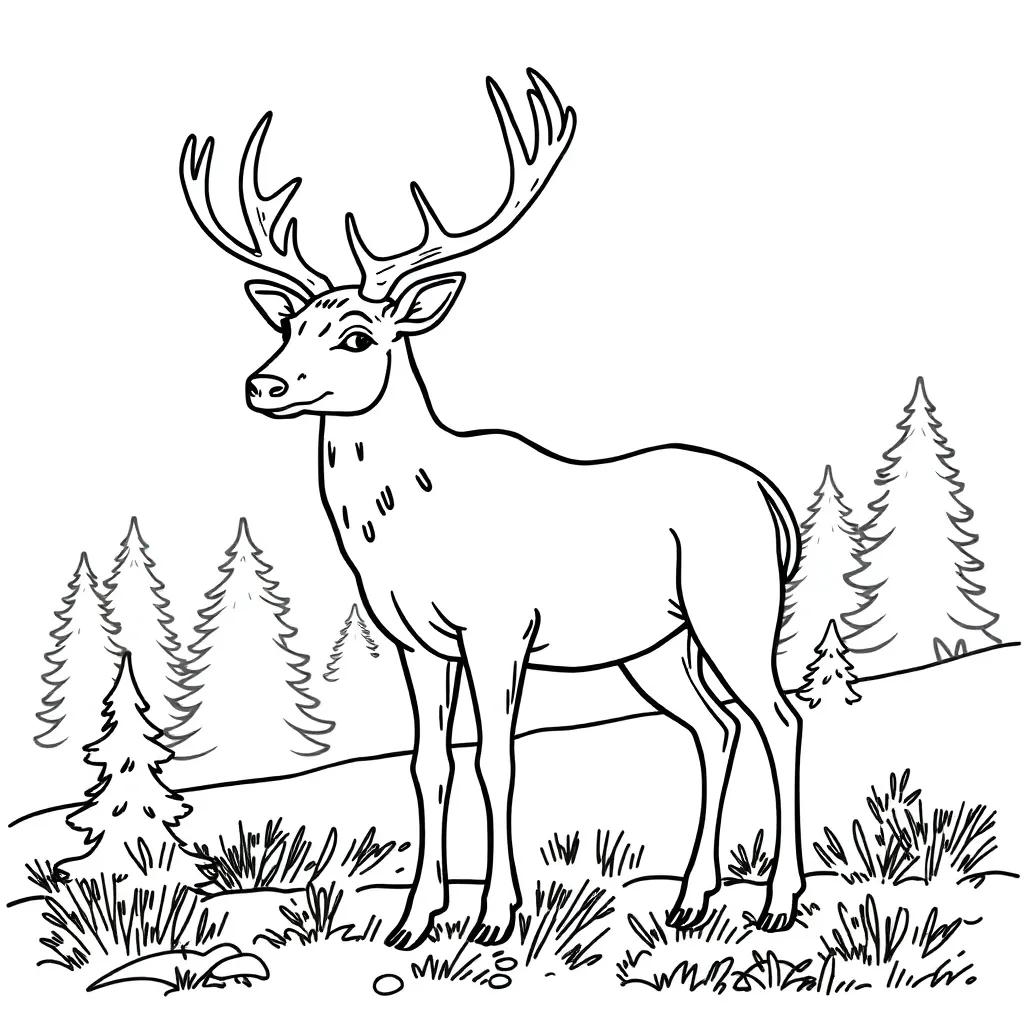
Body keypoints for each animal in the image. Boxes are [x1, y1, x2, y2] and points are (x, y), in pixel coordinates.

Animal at [180, 69, 805, 949]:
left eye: (359, 337)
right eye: (293, 324)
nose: (263, 384)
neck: (406, 525)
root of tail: (773, 502)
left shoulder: (501, 627)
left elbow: (496, 759)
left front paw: (496, 915)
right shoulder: (413, 640)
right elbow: (428, 763)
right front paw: (415, 918)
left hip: (736, 607)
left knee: (779, 719)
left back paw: (780, 900)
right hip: (656, 647)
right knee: (715, 729)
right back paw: (691, 895)